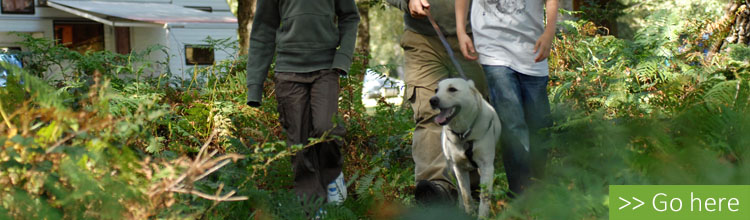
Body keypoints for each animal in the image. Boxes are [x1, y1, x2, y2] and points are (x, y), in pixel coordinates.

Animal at [432, 78, 502, 217]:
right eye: (436, 90)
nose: (432, 100)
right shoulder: (459, 168)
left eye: (452, 89)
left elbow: (485, 196)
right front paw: (469, 213)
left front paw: (483, 216)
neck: (463, 135)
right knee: (459, 190)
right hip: (451, 168)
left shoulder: (486, 166)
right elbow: (465, 194)